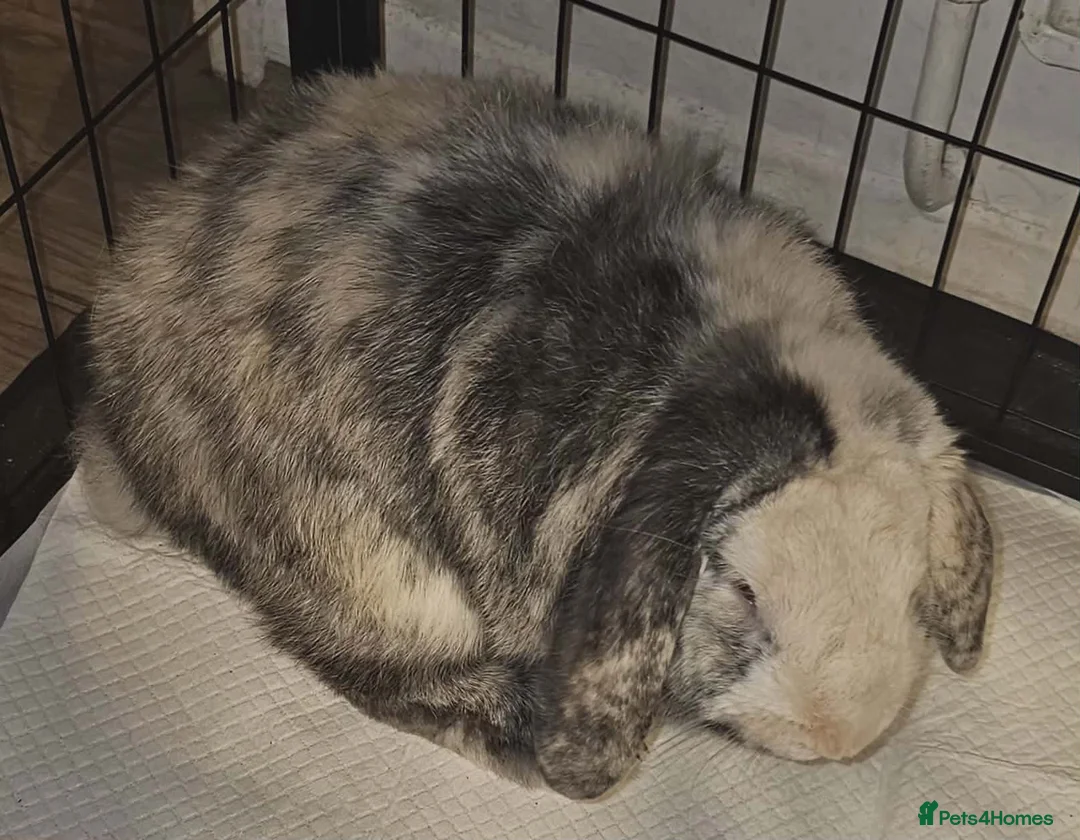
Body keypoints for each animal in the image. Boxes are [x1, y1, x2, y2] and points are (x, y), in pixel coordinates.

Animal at [75, 70, 994, 801]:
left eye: (912, 587)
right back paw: (511, 732)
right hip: (373, 569)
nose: (839, 734)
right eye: (741, 590)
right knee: (367, 664)